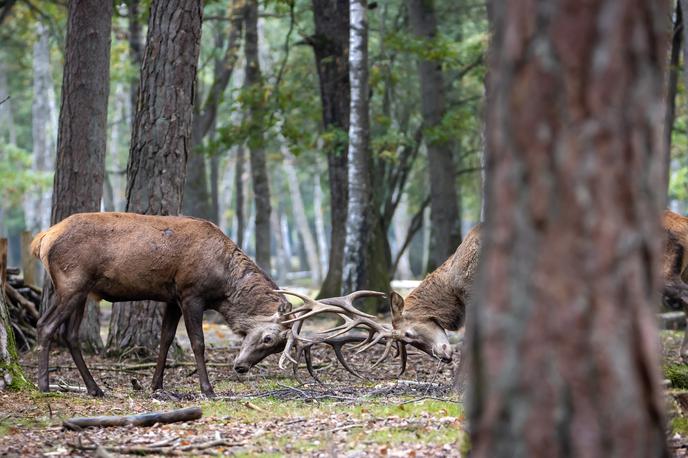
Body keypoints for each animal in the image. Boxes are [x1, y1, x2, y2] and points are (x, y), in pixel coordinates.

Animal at [32, 213, 384, 396]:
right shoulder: (191, 293)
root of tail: (43, 239)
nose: (241, 367)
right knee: (45, 325)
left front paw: (156, 385)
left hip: (82, 290)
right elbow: (197, 343)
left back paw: (94, 388)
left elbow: (165, 340)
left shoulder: (171, 297)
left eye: (273, 348)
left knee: (70, 334)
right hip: (72, 282)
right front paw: (207, 388)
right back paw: (45, 385)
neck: (223, 284)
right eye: (269, 338)